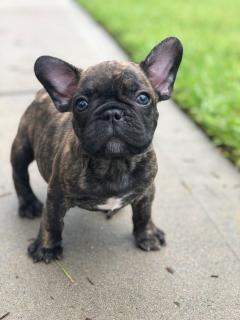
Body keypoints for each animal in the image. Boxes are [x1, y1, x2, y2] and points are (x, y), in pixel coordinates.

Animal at [10, 37, 182, 262]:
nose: (112, 113)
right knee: (19, 174)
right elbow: (51, 221)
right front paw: (46, 247)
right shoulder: (56, 195)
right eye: (81, 104)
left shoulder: (146, 190)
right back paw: (28, 204)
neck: (115, 163)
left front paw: (148, 235)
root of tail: (41, 94)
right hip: (22, 146)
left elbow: (144, 214)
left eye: (143, 98)